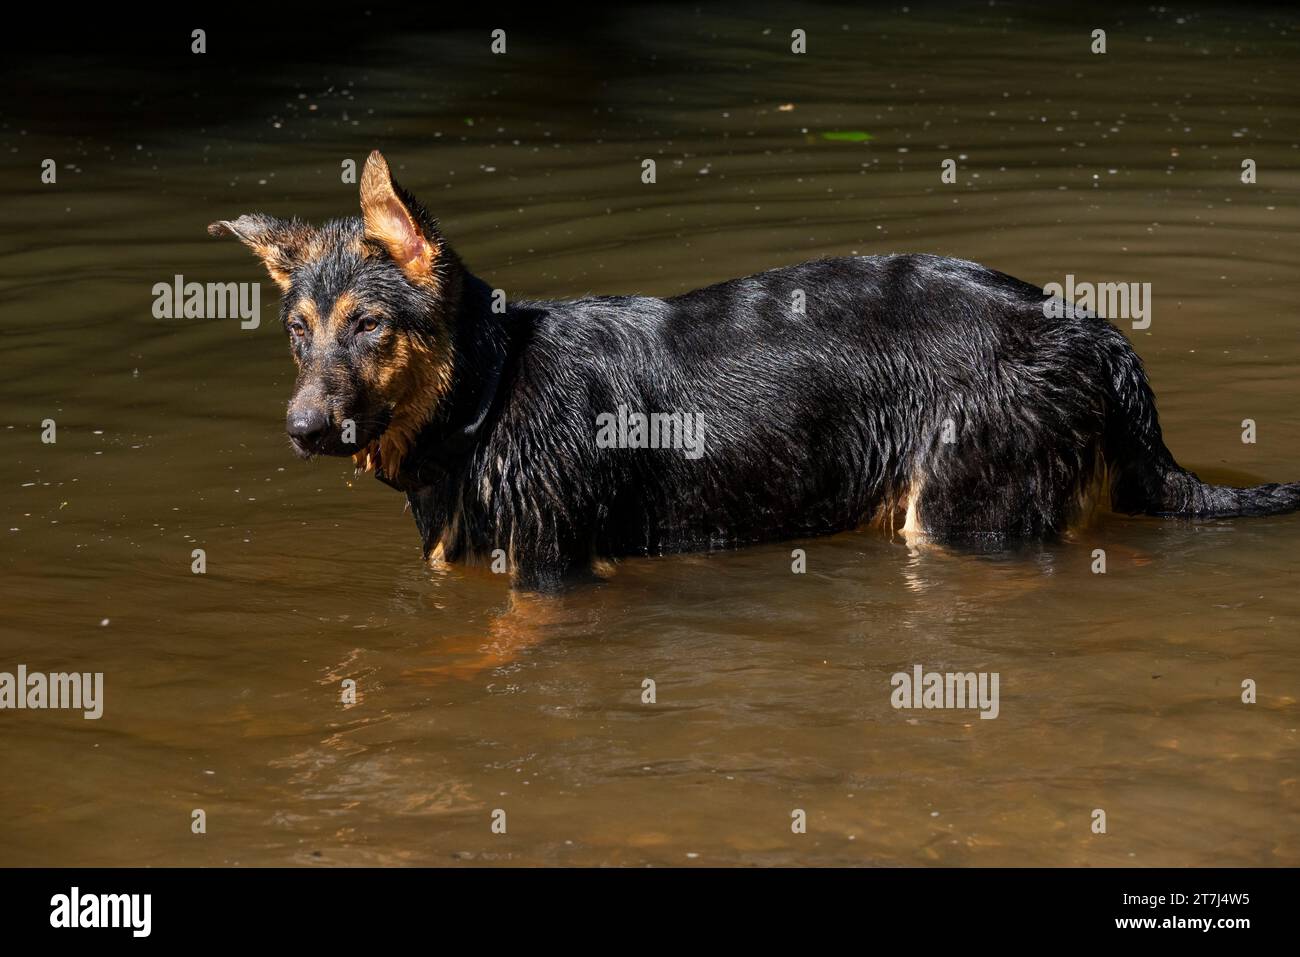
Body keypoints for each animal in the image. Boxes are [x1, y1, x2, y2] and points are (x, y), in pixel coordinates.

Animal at [213, 152, 1300, 587]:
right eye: (299, 334)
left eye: (367, 326)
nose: (300, 431)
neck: (485, 394)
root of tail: (1089, 328)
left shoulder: (558, 575)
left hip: (963, 516)